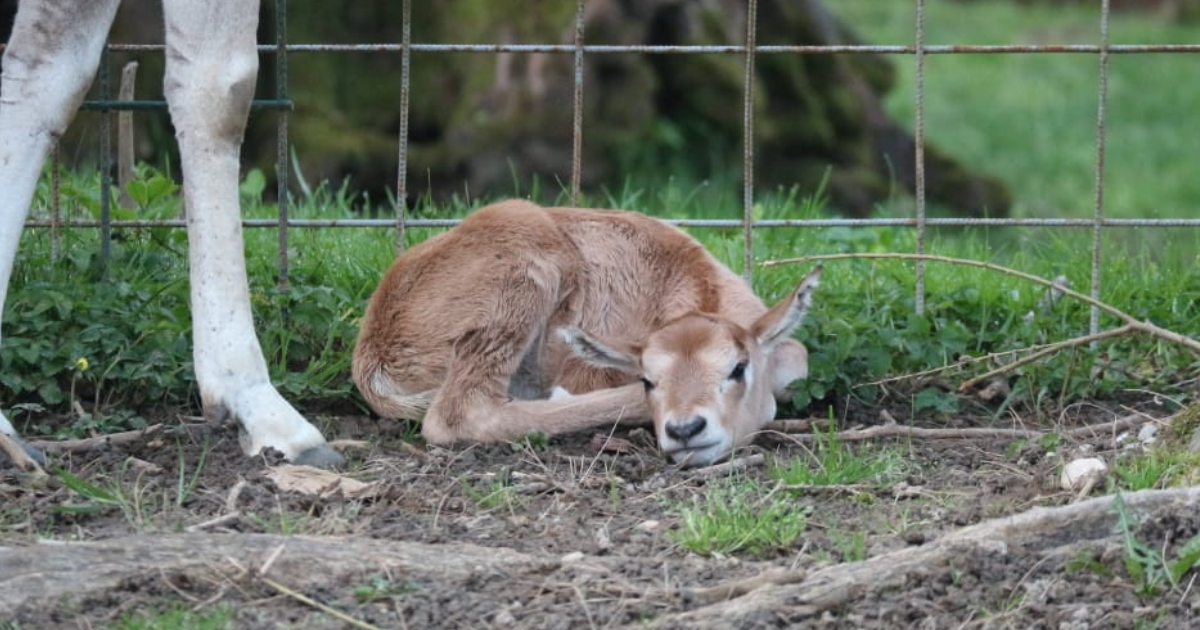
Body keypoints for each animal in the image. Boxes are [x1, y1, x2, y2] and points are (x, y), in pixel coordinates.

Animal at [350, 199, 820, 463]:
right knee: (457, 412)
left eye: (737, 368)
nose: (685, 430)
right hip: (521, 252)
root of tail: (371, 350)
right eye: (649, 379)